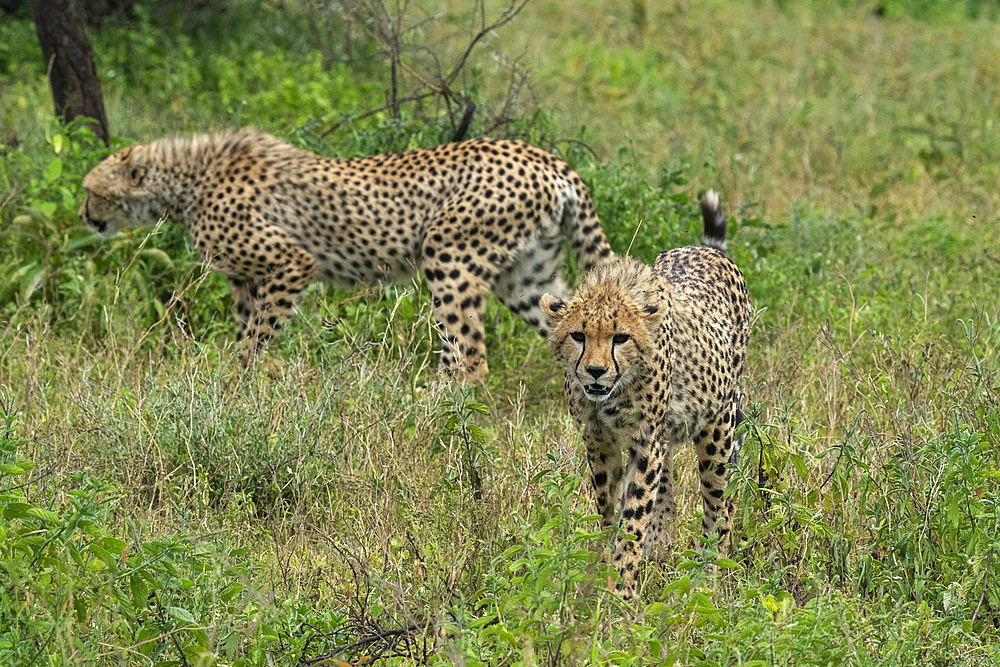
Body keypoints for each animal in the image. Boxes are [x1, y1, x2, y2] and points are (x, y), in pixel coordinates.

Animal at [80, 128, 608, 378]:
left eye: (91, 191)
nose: (85, 216)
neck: (190, 179)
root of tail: (548, 156)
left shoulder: (291, 262)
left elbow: (256, 338)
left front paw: (240, 389)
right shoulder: (245, 280)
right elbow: (245, 335)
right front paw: (242, 387)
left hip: (448, 252)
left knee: (469, 356)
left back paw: (426, 412)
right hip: (528, 277)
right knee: (573, 338)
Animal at [540, 190, 752, 596]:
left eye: (620, 338)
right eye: (578, 335)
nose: (595, 371)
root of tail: (705, 249)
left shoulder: (645, 437)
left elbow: (634, 511)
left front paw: (622, 588)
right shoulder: (599, 438)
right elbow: (610, 504)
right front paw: (609, 565)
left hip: (717, 430)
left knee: (720, 504)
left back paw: (709, 575)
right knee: (668, 491)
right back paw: (660, 551)